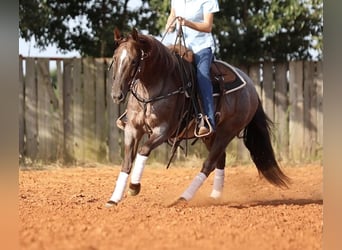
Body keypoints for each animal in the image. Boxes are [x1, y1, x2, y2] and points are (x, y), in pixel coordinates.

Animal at [105, 27, 290, 207]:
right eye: (115, 58)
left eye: (134, 61)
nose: (116, 95)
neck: (155, 86)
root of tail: (251, 88)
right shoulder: (132, 129)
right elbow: (127, 162)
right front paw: (114, 199)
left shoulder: (163, 130)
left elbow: (144, 150)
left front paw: (134, 187)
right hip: (210, 135)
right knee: (220, 160)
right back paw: (215, 196)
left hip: (227, 132)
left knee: (209, 164)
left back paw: (183, 198)